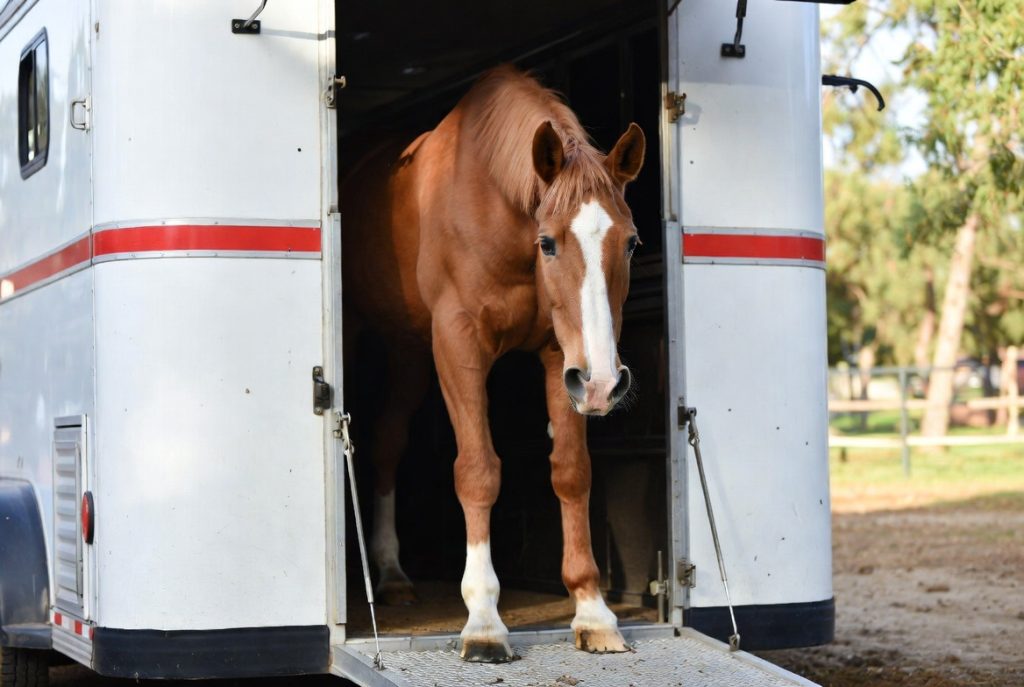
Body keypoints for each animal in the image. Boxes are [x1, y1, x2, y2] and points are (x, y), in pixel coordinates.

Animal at [341, 65, 645, 663]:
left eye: (630, 243)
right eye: (548, 243)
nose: (605, 383)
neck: (495, 204)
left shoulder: (561, 360)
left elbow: (571, 472)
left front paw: (593, 611)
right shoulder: (460, 346)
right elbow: (478, 471)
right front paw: (483, 619)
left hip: (411, 352)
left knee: (388, 443)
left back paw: (392, 573)